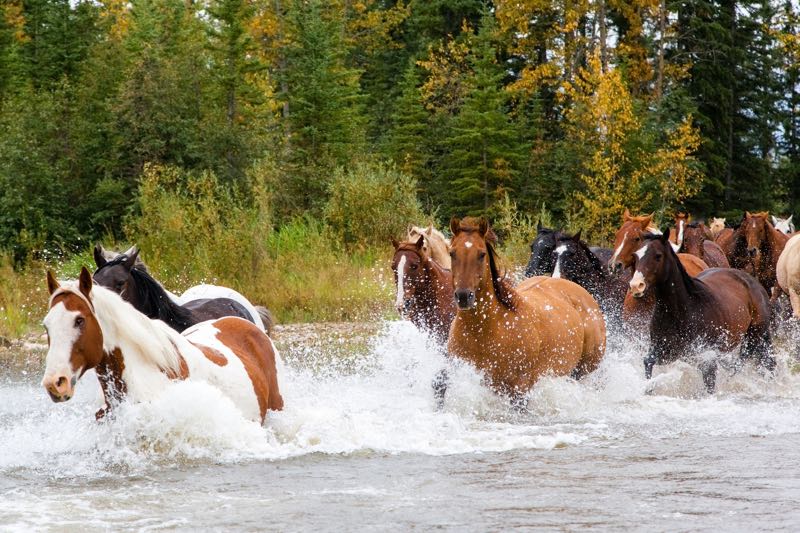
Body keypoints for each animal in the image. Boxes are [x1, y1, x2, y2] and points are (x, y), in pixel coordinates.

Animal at [632, 232, 776, 390]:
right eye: (636, 255)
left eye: (658, 255)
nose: (636, 285)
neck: (683, 310)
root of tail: (754, 282)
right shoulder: (664, 350)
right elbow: (648, 362)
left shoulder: (706, 356)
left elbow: (709, 382)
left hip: (755, 335)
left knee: (746, 363)